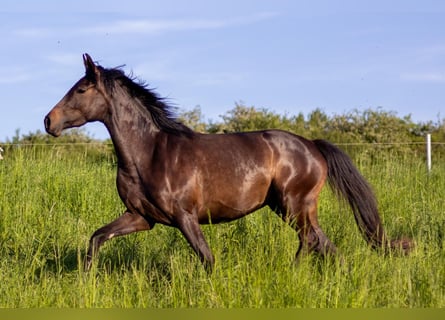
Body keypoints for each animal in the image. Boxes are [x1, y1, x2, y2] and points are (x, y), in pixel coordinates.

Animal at [43, 53, 412, 270]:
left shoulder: (186, 217)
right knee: (324, 244)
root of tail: (313, 146)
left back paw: (291, 275)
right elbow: (96, 239)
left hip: (294, 205)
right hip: (291, 208)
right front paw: (86, 282)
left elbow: (207, 260)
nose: (49, 121)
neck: (148, 154)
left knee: (311, 242)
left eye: (80, 90)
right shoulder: (141, 217)